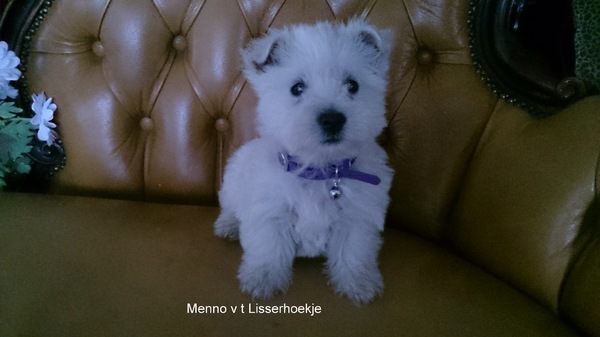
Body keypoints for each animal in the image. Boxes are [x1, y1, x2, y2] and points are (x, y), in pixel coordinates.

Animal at [216, 19, 394, 304]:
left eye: (353, 85)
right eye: (296, 88)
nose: (332, 119)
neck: (319, 169)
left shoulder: (357, 216)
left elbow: (354, 250)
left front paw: (359, 283)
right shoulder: (270, 212)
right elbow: (269, 248)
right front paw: (263, 279)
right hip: (233, 183)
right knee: (230, 207)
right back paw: (228, 225)